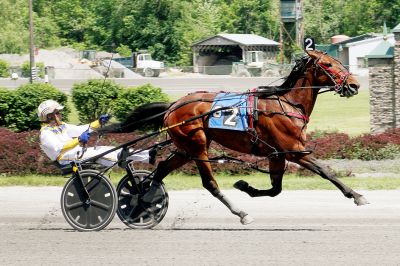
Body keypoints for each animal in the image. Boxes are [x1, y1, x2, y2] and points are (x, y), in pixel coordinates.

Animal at [102, 50, 368, 224]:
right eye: (329, 65)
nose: (354, 85)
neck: (286, 103)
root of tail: (173, 104)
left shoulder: (277, 154)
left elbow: (276, 189)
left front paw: (245, 185)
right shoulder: (295, 150)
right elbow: (326, 171)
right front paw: (357, 196)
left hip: (185, 148)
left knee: (160, 171)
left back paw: (141, 203)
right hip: (197, 145)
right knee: (209, 183)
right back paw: (240, 213)